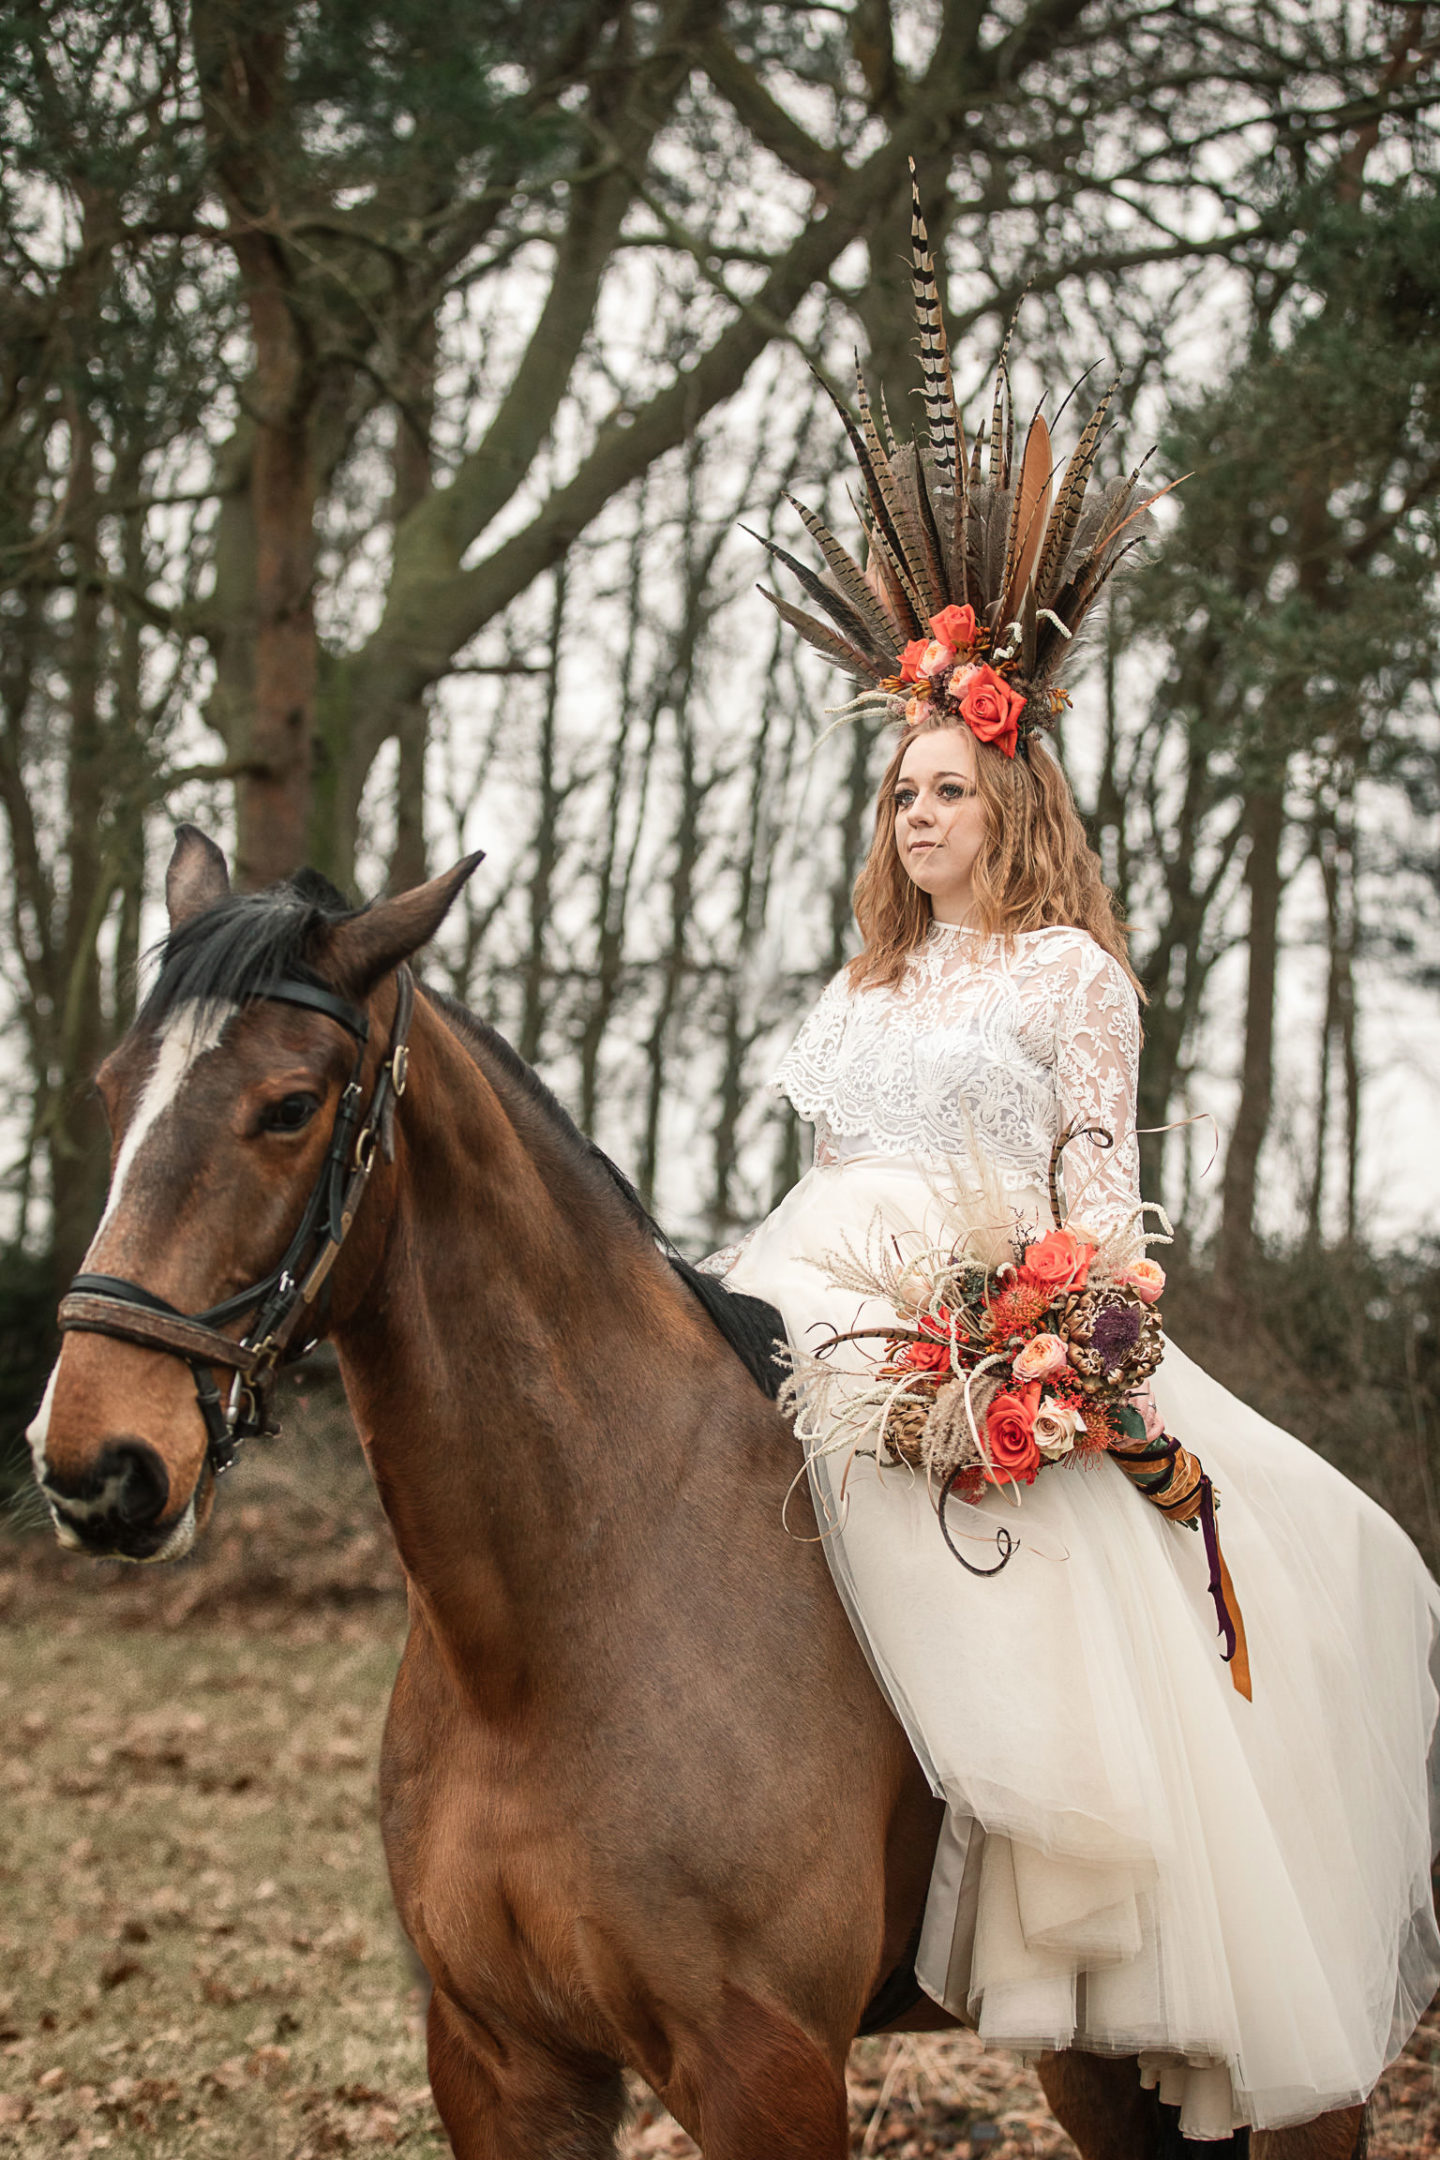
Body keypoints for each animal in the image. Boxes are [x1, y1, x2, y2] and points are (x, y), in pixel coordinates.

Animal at [31, 829, 1364, 2160]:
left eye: (291, 1108)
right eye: (108, 1090)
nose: (97, 1462)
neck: (560, 1620)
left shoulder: (765, 2067)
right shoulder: (498, 2063)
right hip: (1102, 2055)